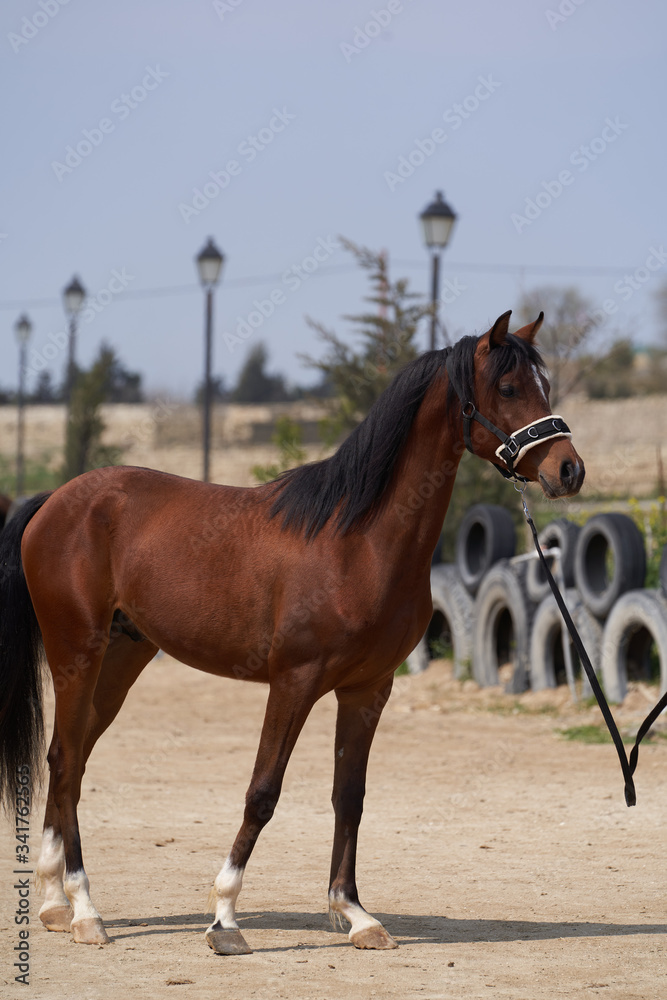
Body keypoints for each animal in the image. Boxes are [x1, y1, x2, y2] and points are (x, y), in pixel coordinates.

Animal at [0, 310, 584, 956]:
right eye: (507, 388)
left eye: (545, 385)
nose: (568, 470)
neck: (360, 540)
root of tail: (55, 500)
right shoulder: (294, 682)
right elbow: (263, 792)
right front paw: (225, 918)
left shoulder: (367, 690)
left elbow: (349, 797)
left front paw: (355, 914)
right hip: (77, 651)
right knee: (65, 759)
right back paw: (84, 910)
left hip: (123, 658)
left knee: (69, 760)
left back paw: (53, 902)